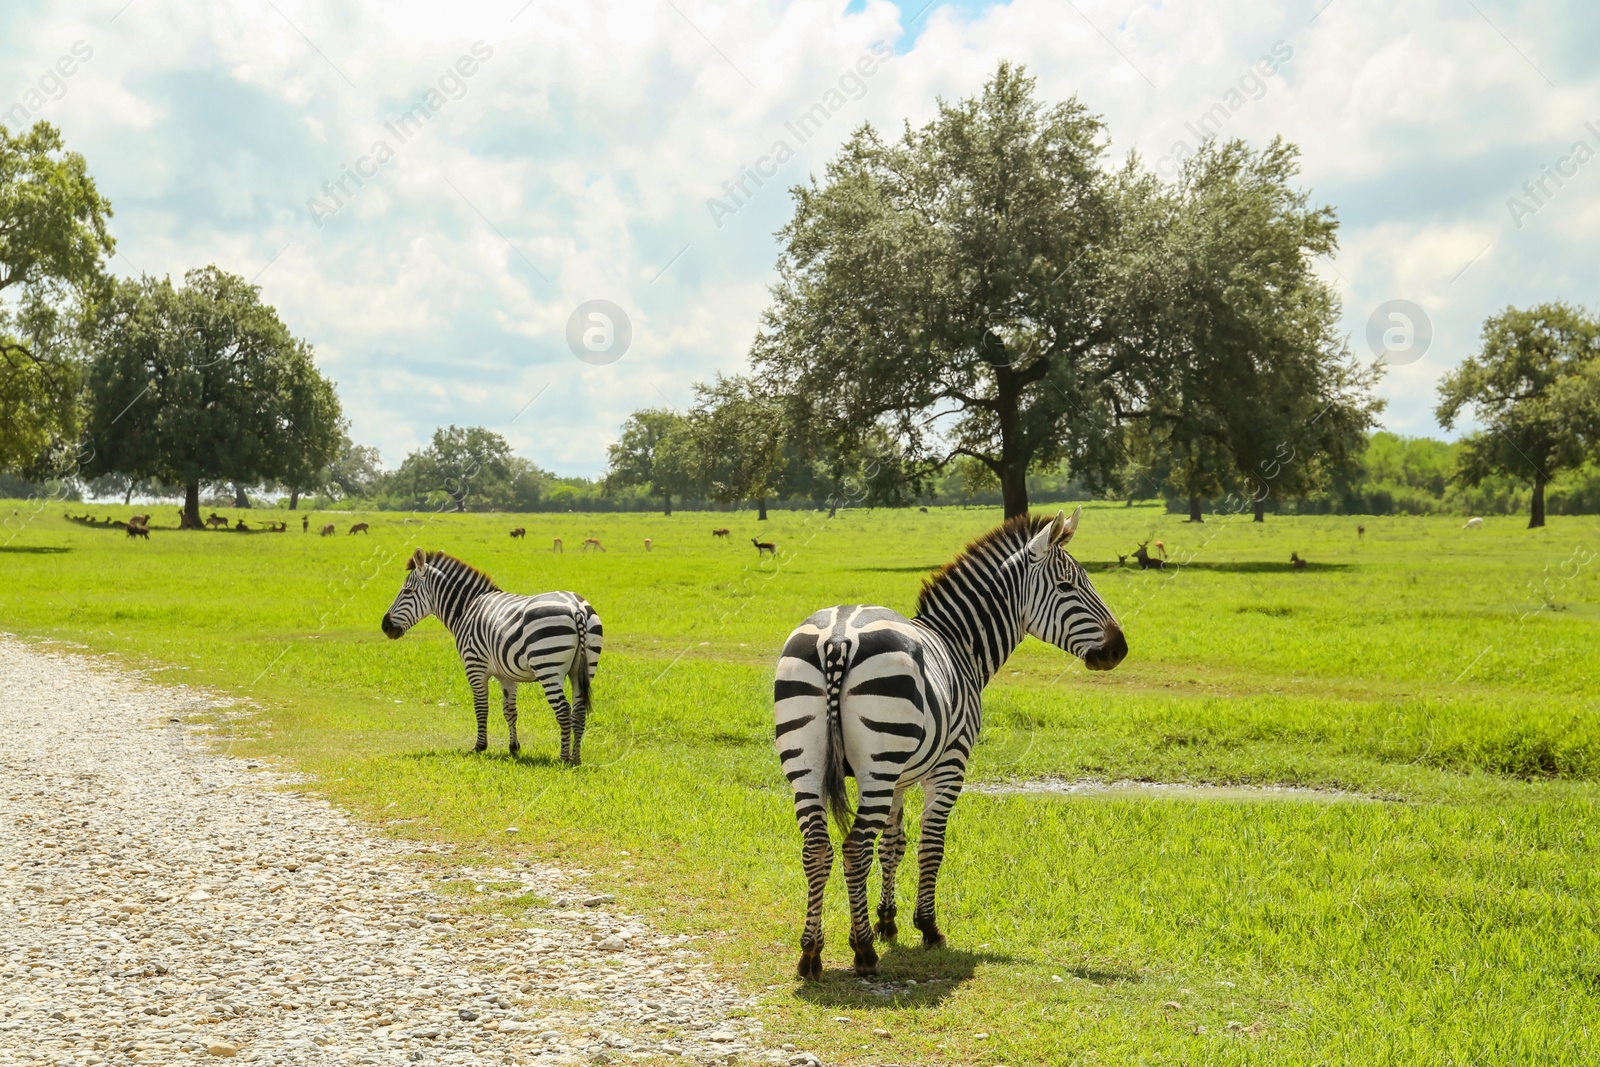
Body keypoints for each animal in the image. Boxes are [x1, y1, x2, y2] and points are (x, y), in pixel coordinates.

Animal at [382, 550, 604, 767]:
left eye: (407, 591)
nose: (385, 626)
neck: (467, 608)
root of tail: (576, 608)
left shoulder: (475, 667)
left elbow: (481, 707)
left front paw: (479, 747)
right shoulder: (507, 675)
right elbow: (510, 710)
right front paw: (514, 748)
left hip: (548, 668)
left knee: (564, 711)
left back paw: (564, 759)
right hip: (583, 669)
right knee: (579, 711)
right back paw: (576, 759)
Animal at [771, 508, 1126, 979]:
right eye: (1068, 587)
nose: (1120, 649)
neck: (960, 645)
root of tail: (839, 636)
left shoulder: (900, 778)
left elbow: (893, 845)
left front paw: (888, 921)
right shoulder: (948, 768)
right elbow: (930, 847)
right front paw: (926, 927)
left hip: (808, 763)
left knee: (818, 848)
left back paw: (811, 953)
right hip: (877, 764)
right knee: (854, 848)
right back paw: (863, 952)